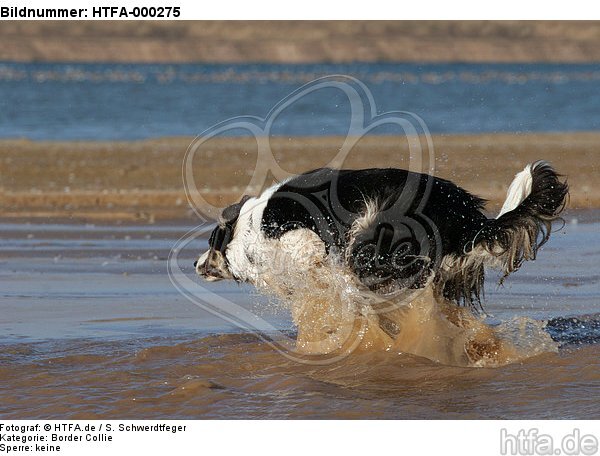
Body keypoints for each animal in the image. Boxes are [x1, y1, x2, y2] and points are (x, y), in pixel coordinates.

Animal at [196, 162, 568, 312]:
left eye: (211, 245)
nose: (196, 264)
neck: (249, 227)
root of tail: (466, 215)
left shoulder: (303, 238)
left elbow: (314, 262)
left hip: (375, 226)